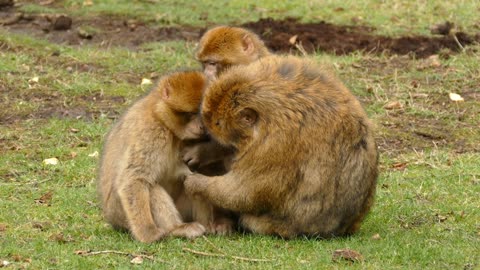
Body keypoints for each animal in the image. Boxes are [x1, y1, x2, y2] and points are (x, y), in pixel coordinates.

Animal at [97, 70, 232, 243]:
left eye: (203, 114)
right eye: (190, 114)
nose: (202, 126)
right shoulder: (150, 132)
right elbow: (134, 179)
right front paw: (147, 233)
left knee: (193, 181)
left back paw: (210, 225)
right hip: (120, 214)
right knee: (151, 187)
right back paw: (177, 229)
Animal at [184, 54, 378, 238]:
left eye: (218, 123)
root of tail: (346, 228)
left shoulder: (275, 144)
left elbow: (245, 192)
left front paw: (197, 183)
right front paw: (203, 152)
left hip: (284, 226)